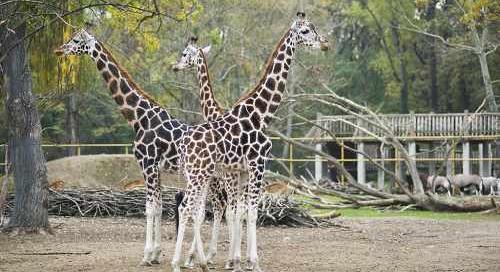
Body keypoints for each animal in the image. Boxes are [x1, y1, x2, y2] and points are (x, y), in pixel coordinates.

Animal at [55, 30, 193, 266]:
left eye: (76, 40)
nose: (59, 50)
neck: (139, 117)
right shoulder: (156, 169)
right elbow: (158, 208)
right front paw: (156, 254)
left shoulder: (147, 165)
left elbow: (149, 209)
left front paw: (147, 255)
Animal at [174, 12, 330, 272]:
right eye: (306, 31)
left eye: (314, 28)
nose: (325, 43)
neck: (261, 114)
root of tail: (185, 143)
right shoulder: (255, 166)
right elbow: (249, 212)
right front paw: (250, 262)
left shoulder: (242, 171)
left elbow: (241, 212)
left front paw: (238, 260)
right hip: (200, 175)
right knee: (188, 207)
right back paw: (180, 262)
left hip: (198, 175)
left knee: (192, 207)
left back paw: (194, 260)